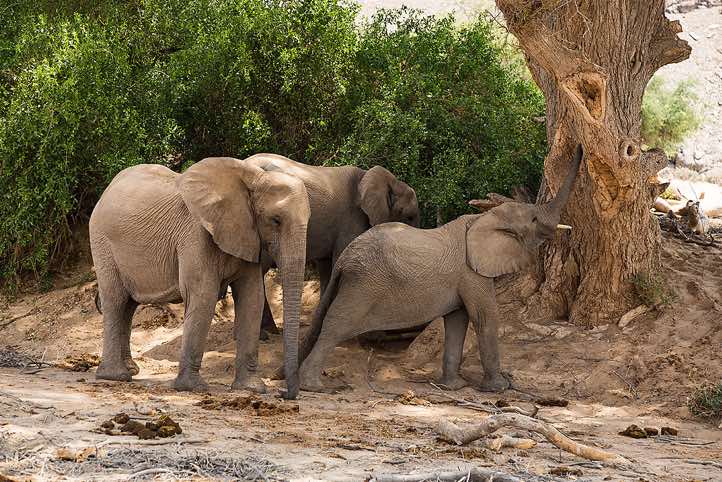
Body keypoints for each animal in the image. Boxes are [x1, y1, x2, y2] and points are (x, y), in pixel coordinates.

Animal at [89, 156, 310, 398]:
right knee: (116, 300)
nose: (282, 393)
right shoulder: (196, 234)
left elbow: (252, 298)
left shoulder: (248, 235)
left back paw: (130, 370)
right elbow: (204, 295)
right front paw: (192, 388)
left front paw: (251, 388)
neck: (252, 178)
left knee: (129, 305)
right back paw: (116, 376)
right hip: (102, 242)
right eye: (276, 220)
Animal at [291, 145, 583, 393]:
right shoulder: (471, 272)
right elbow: (484, 317)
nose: (580, 147)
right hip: (362, 285)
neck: (483, 217)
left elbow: (457, 322)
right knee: (336, 325)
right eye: (533, 219)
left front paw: (452, 387)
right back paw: (314, 386)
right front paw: (499, 388)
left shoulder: (462, 278)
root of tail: (345, 259)